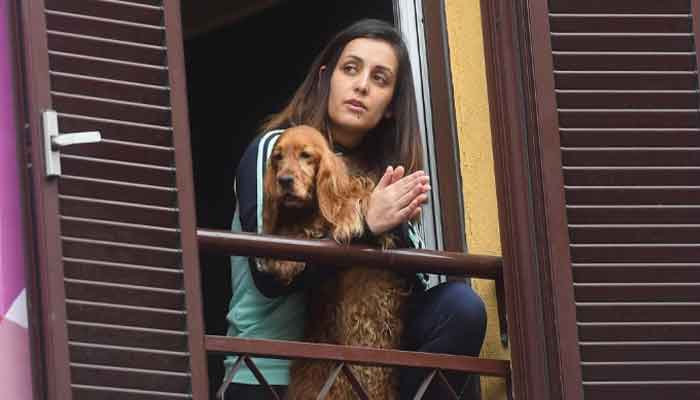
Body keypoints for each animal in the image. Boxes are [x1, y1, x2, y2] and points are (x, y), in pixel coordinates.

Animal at [266, 126, 412, 400]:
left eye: (306, 155)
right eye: (277, 157)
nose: (284, 180)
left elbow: (358, 196)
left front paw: (348, 217)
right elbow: (293, 232)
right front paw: (283, 261)